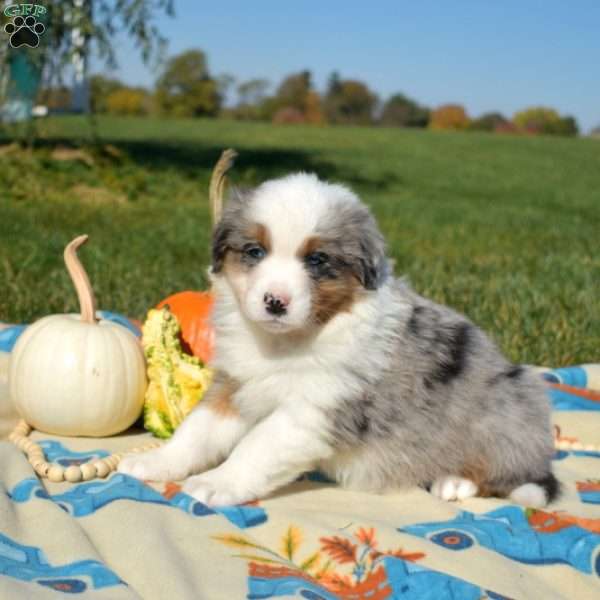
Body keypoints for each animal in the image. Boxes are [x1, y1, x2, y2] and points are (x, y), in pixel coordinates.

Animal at [118, 172, 556, 506]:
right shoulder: (234, 384)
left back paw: (455, 481)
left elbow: (257, 446)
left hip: (506, 408)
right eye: (255, 251)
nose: (274, 301)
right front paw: (157, 462)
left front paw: (217, 482)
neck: (286, 342)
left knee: (512, 474)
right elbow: (197, 430)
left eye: (317, 260)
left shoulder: (314, 410)